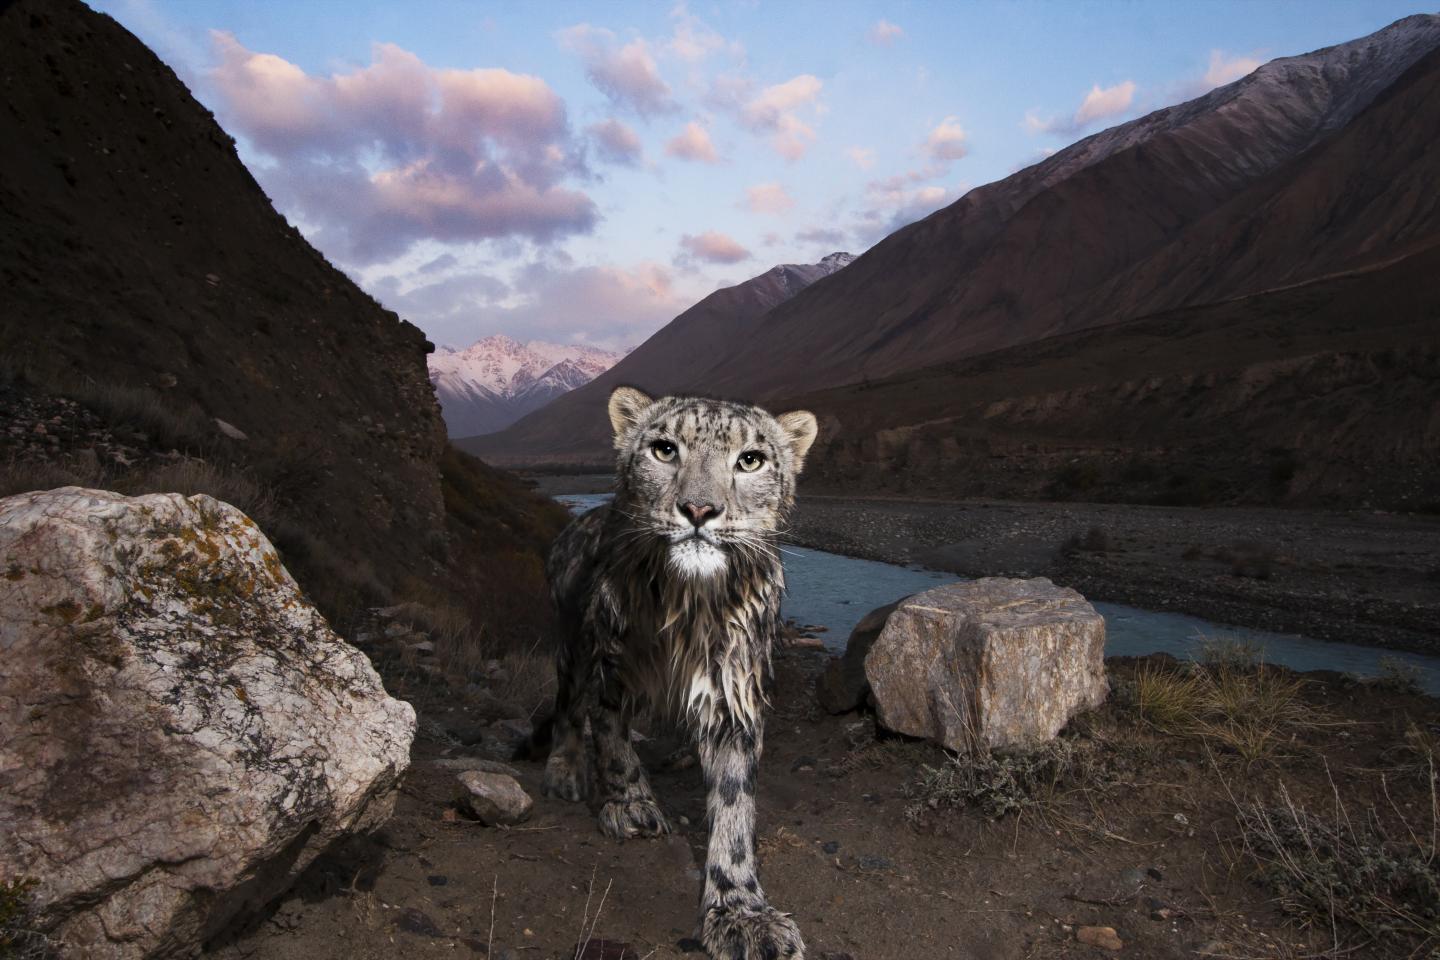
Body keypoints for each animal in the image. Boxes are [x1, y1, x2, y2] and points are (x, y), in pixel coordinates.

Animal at [540, 385, 817, 960]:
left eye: (750, 459)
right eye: (664, 449)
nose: (699, 509)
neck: (688, 609)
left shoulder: (734, 695)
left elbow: (735, 805)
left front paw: (740, 912)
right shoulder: (610, 669)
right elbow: (613, 741)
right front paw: (632, 805)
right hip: (572, 647)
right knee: (566, 708)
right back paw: (564, 771)